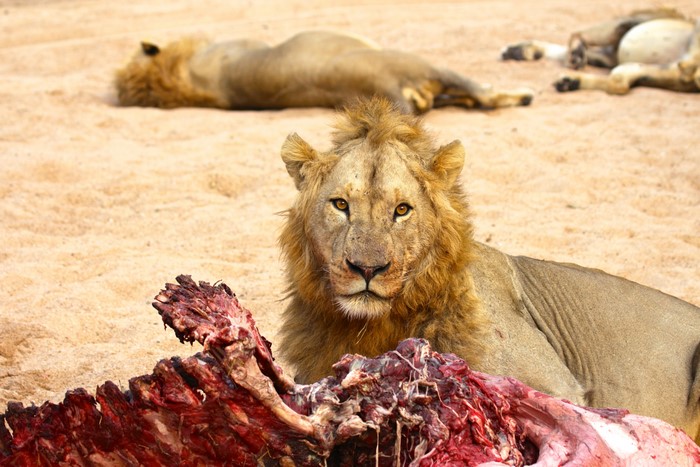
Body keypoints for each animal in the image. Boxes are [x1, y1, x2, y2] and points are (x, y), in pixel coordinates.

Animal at [501, 8, 700, 94]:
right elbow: (618, 81)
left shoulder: (675, 76)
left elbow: (618, 83)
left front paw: (572, 81)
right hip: (624, 25)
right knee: (577, 36)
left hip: (612, 53)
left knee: (570, 55)